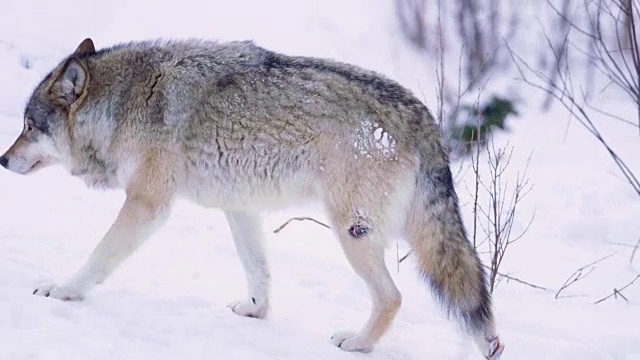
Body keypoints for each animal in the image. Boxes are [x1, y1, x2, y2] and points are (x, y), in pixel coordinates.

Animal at [0, 38, 504, 358]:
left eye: (28, 125)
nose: (3, 160)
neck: (121, 105)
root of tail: (426, 120)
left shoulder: (147, 203)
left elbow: (99, 257)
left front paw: (64, 290)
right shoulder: (239, 207)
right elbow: (257, 269)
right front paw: (255, 312)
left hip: (352, 232)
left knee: (393, 297)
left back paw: (358, 344)